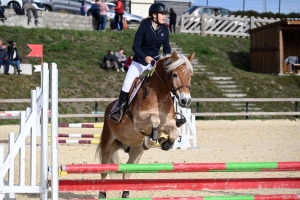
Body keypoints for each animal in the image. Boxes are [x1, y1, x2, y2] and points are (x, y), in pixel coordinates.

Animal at [96, 50, 195, 198]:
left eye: (190, 75)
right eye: (175, 74)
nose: (185, 101)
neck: (160, 95)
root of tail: (110, 106)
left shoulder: (169, 124)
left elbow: (174, 132)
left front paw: (165, 143)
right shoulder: (138, 120)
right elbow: (155, 119)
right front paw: (151, 141)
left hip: (135, 151)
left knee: (127, 170)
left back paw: (126, 194)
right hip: (108, 145)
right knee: (104, 170)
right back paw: (102, 193)